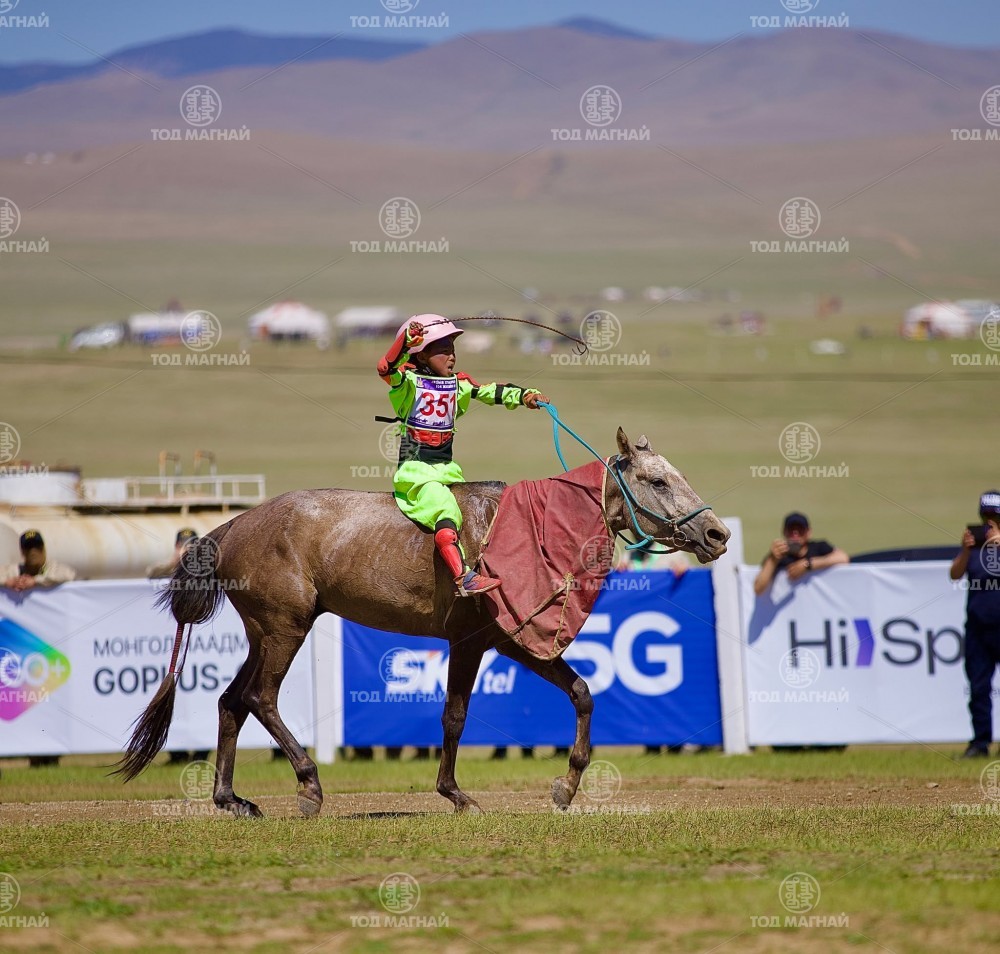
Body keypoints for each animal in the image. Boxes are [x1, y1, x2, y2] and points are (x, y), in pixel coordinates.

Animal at [114, 428, 730, 817]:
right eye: (657, 481)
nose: (718, 533)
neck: (519, 530)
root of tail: (230, 527)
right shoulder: (468, 642)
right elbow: (454, 717)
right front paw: (455, 793)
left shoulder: (509, 640)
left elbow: (581, 692)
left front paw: (567, 785)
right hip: (286, 628)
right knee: (260, 698)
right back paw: (309, 785)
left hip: (264, 633)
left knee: (231, 702)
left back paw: (231, 799)